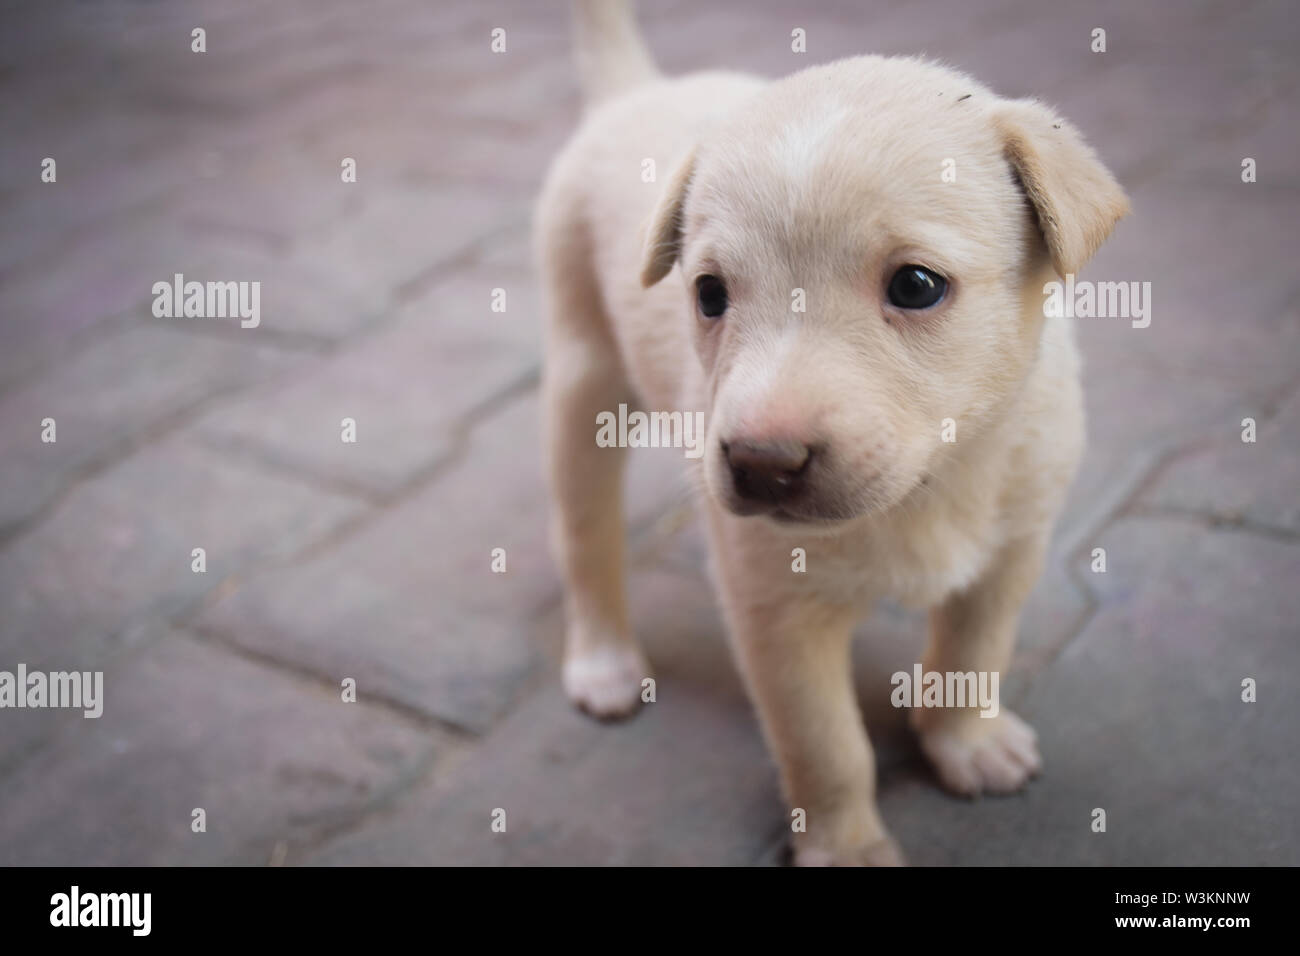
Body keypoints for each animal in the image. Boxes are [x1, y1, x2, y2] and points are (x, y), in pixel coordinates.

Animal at [538, 0, 1128, 868]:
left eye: (916, 285)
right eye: (709, 294)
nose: (759, 463)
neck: (933, 482)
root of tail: (637, 89)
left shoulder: (1012, 549)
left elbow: (974, 652)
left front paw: (967, 743)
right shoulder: (776, 610)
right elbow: (826, 746)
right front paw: (847, 846)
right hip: (581, 375)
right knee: (586, 538)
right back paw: (604, 659)